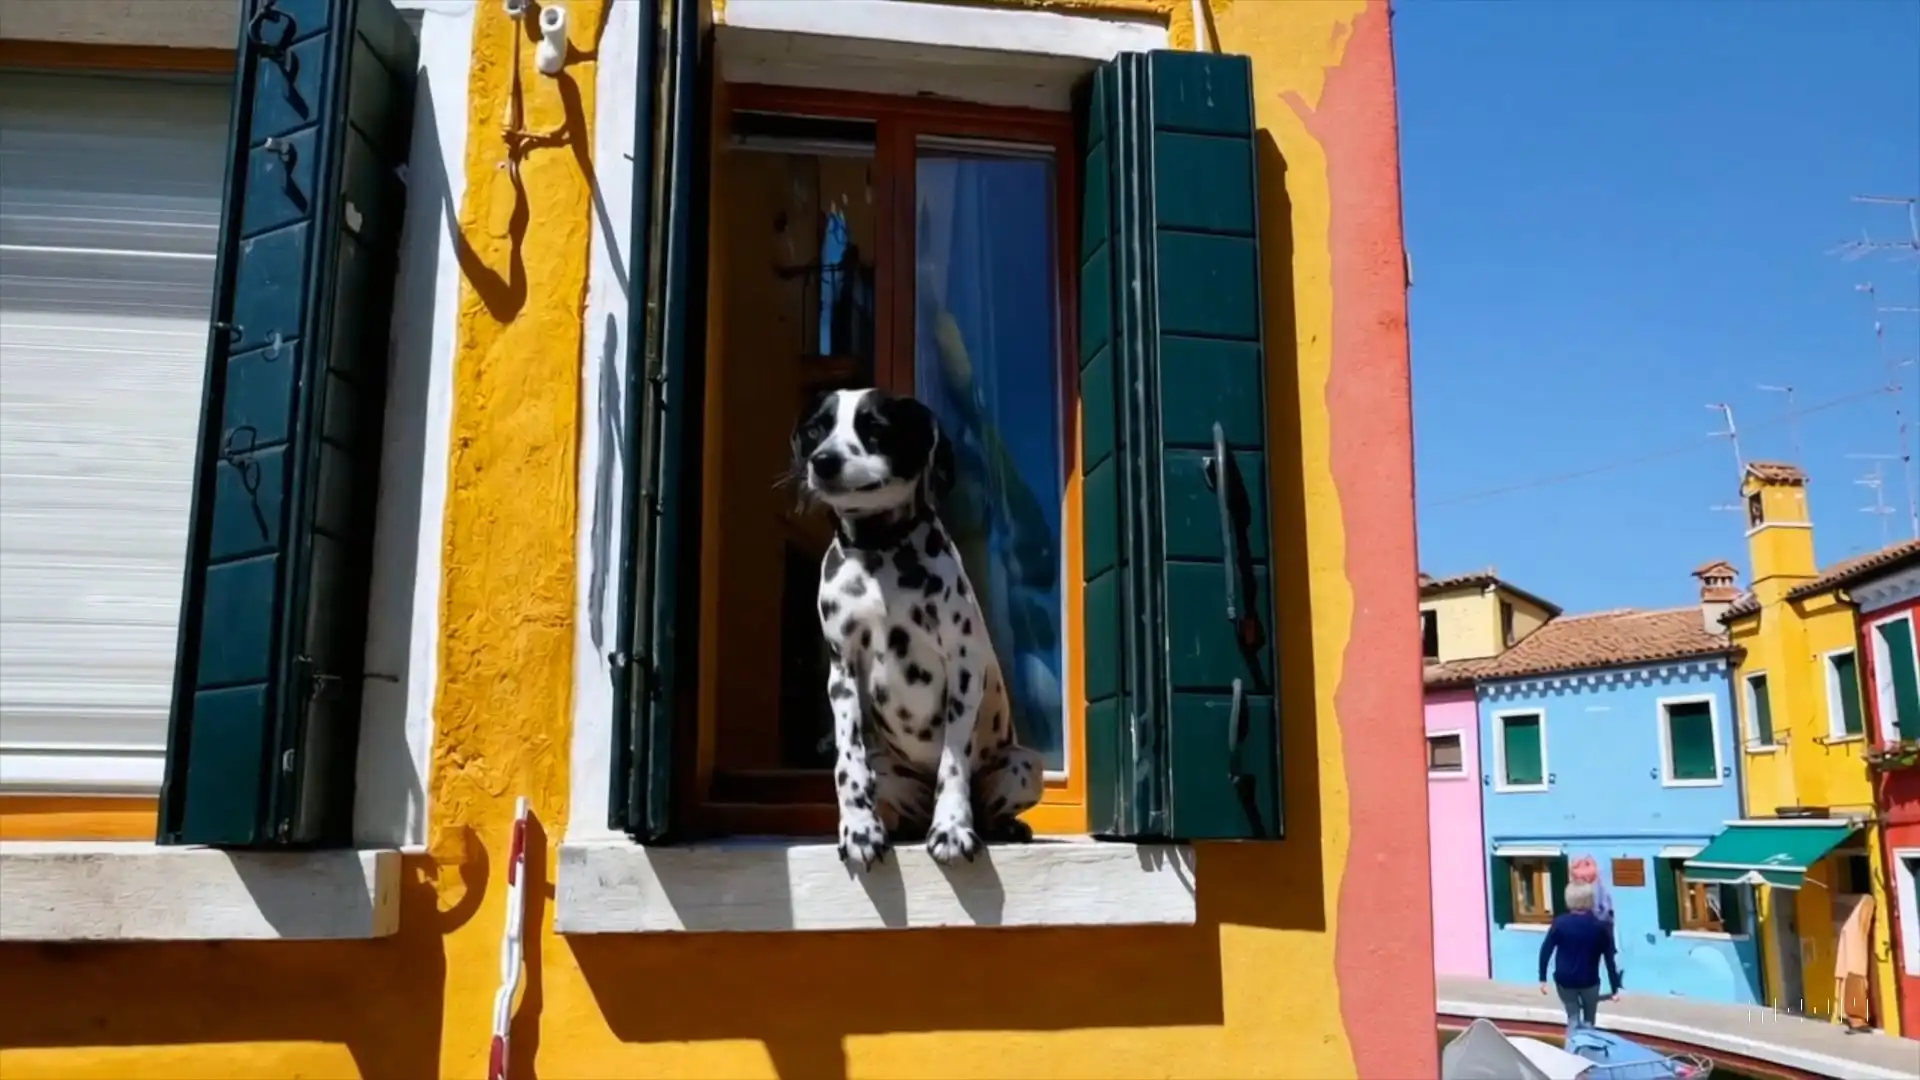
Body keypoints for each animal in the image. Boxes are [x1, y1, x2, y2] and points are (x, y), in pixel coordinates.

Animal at [787, 386, 1044, 864]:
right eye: (816, 429)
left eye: (876, 427)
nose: (823, 460)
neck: (880, 553)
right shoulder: (842, 674)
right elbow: (848, 764)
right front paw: (860, 829)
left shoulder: (964, 670)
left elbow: (953, 763)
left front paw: (951, 828)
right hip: (888, 772)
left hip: (1025, 765)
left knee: (987, 808)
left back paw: (1000, 826)